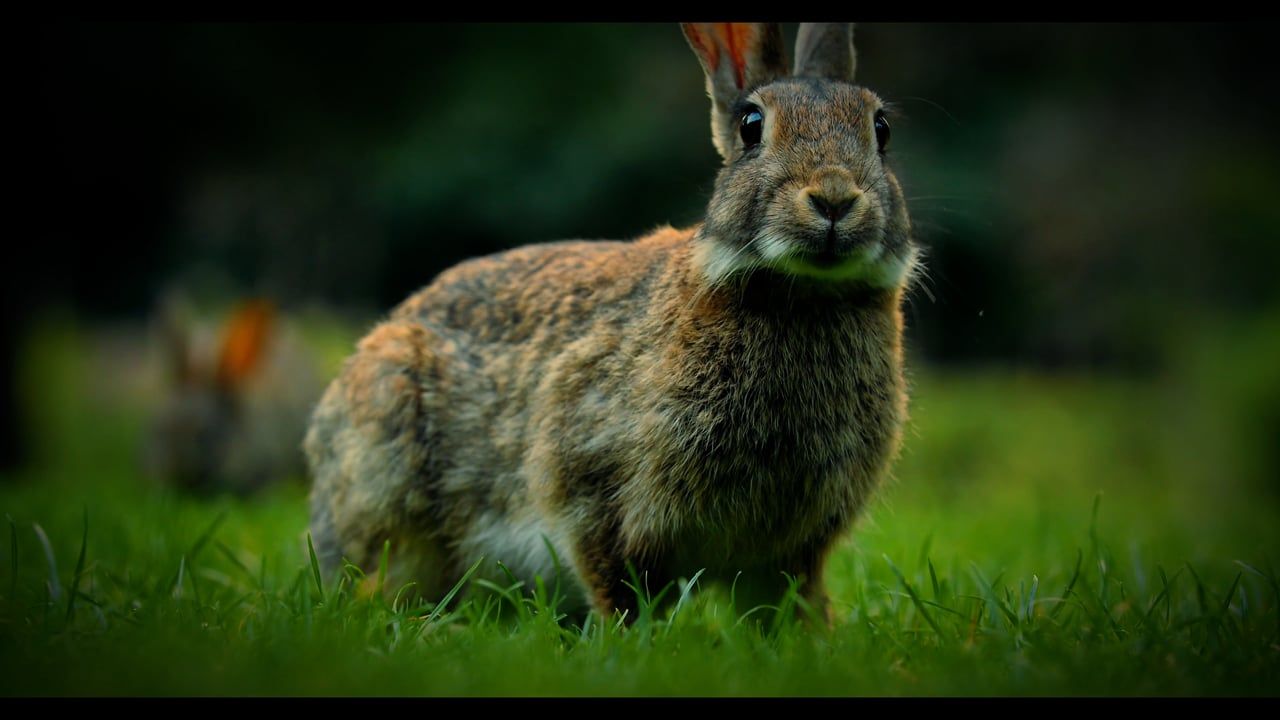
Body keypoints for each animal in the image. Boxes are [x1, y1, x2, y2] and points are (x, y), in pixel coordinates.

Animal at [305, 22, 919, 622]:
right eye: (751, 127)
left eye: (882, 129)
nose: (834, 198)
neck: (803, 292)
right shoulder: (592, 484)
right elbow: (613, 578)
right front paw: (632, 636)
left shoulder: (789, 547)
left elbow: (786, 599)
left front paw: (811, 635)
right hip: (391, 453)